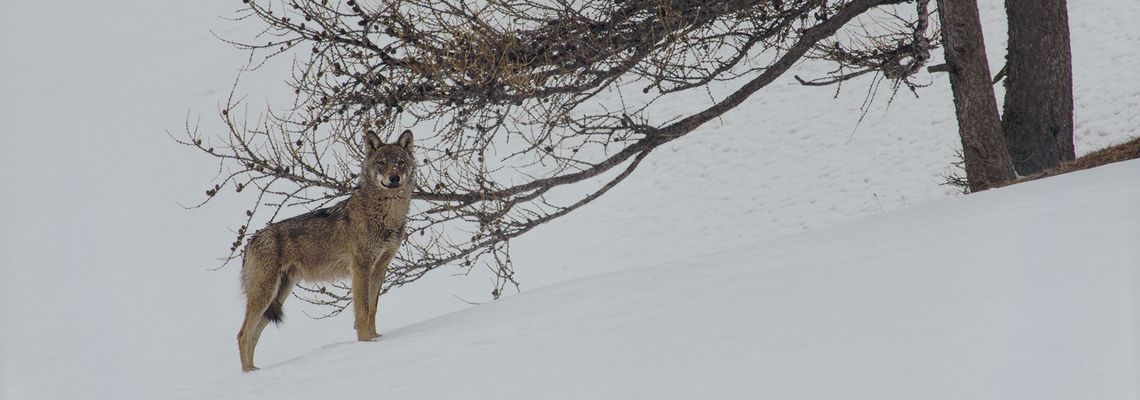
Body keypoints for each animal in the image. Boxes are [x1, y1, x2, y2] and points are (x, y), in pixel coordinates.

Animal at [238, 129, 417, 373]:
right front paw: (365, 344)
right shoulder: (360, 268)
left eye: (400, 162)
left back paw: (254, 371)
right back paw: (248, 372)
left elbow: (372, 309)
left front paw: (375, 339)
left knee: (253, 335)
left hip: (277, 297)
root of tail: (250, 242)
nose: (394, 178)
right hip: (265, 295)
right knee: (243, 335)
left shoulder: (380, 268)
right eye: (381, 163)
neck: (386, 215)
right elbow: (362, 312)